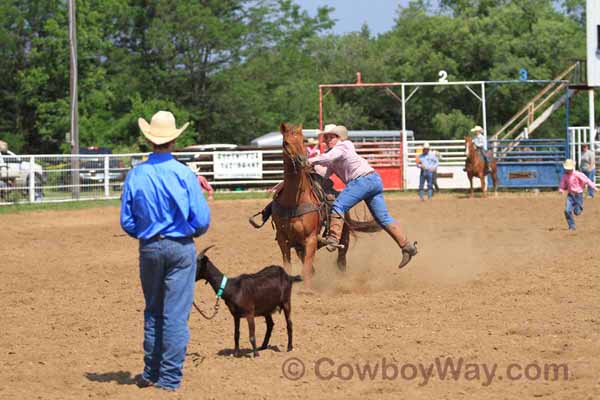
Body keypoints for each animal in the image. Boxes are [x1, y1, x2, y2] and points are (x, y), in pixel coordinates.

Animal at [274, 123, 380, 290]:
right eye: (286, 143)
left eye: (303, 141)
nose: (302, 161)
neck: (294, 201)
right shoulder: (282, 240)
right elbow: (289, 267)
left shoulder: (310, 238)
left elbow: (307, 267)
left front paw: (307, 291)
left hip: (344, 237)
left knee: (341, 261)